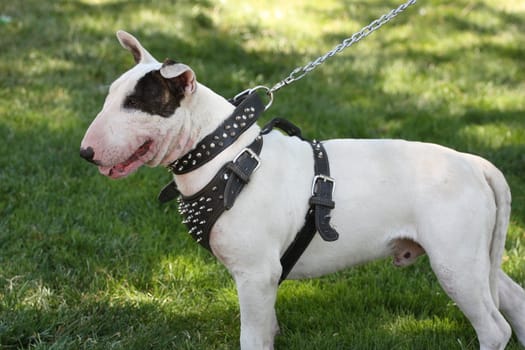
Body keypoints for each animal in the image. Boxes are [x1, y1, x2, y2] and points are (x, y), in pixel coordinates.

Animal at [79, 31, 524, 348]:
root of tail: (472, 162)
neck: (223, 154)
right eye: (111, 96)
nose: (85, 153)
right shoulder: (264, 282)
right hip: (473, 256)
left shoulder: (256, 275)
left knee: (493, 328)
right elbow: (267, 331)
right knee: (511, 295)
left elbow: (252, 339)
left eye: (136, 103)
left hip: (454, 261)